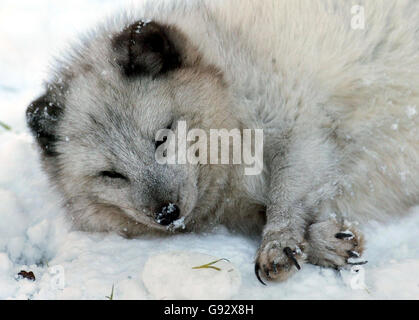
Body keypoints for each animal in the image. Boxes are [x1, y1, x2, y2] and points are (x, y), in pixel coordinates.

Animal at [27, 1, 419, 284]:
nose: (167, 213)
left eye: (163, 136)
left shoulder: (302, 126)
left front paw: (278, 242)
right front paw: (325, 241)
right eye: (110, 174)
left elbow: (286, 197)